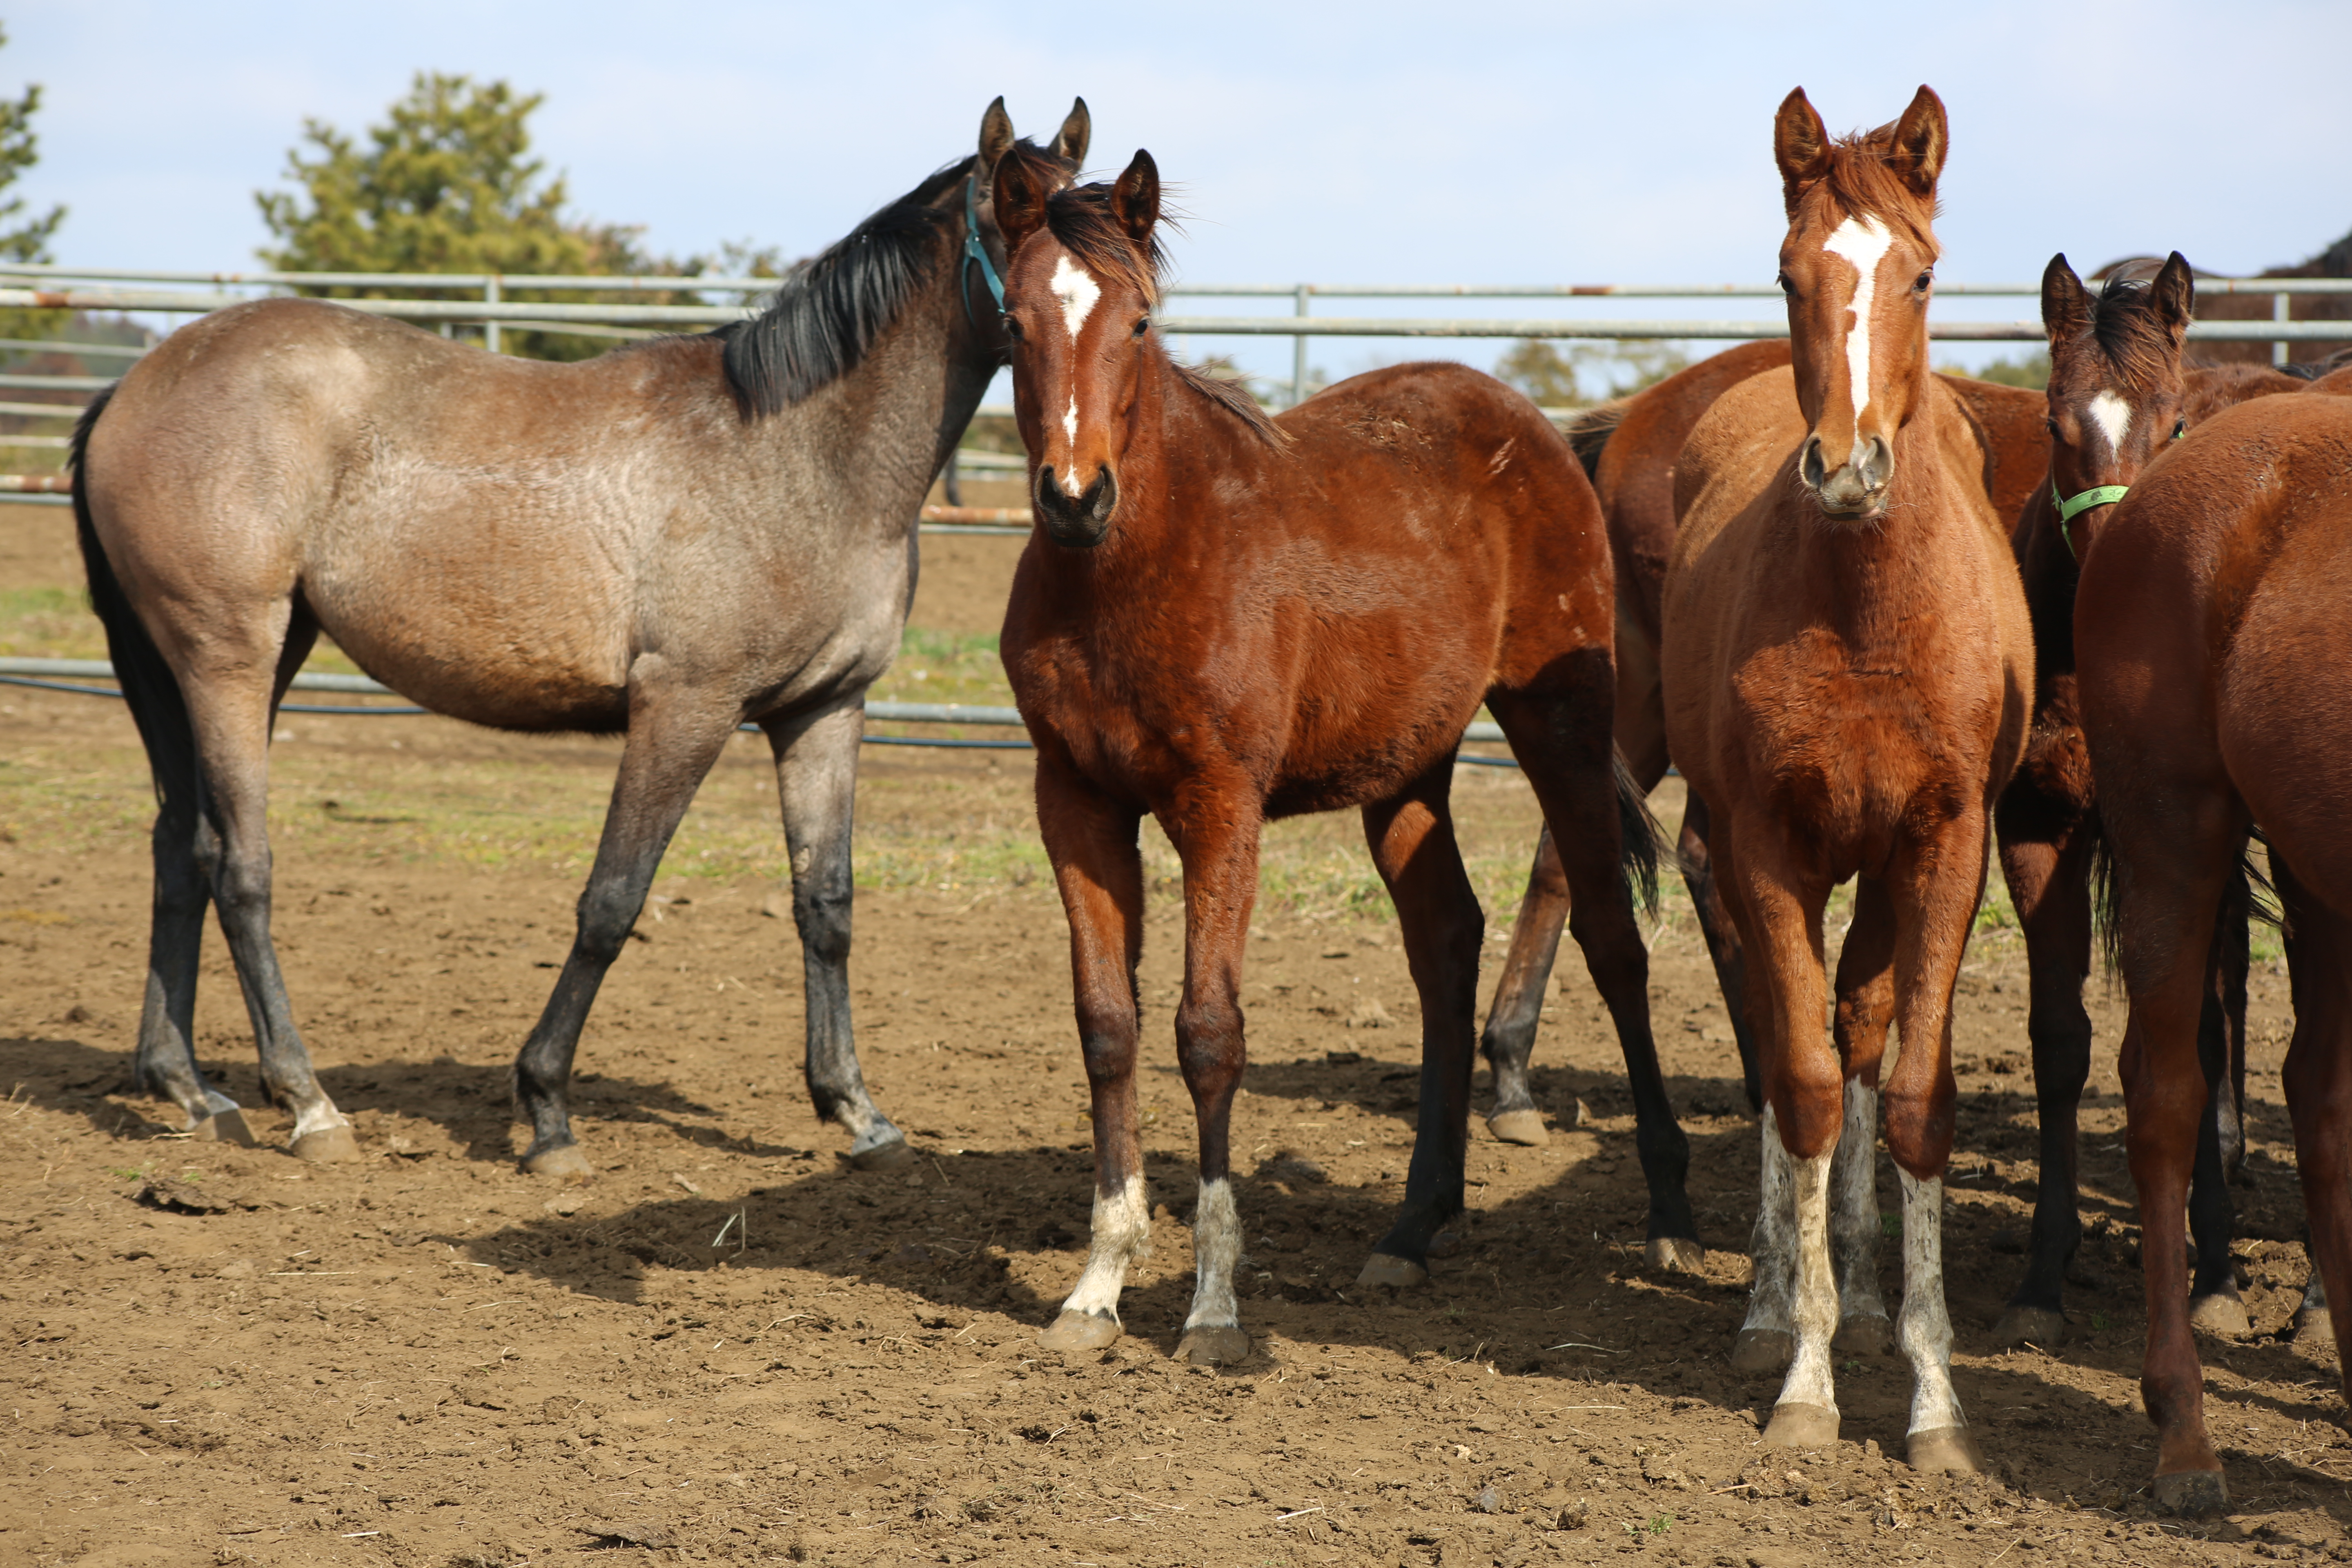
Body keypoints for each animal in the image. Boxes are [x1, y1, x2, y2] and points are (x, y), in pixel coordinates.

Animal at [71, 95, 1091, 1175]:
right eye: (1018, 220)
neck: (802, 455)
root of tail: (134, 388)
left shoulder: (822, 711)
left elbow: (825, 905)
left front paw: (855, 1111)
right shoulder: (684, 705)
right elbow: (613, 901)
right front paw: (547, 1110)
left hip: (211, 662)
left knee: (179, 844)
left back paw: (186, 1086)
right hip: (226, 654)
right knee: (240, 865)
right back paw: (309, 1104)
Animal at [992, 147, 1675, 1363]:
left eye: (1139, 320)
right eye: (1012, 321)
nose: (1074, 500)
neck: (1134, 569)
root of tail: (1543, 435)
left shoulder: (1219, 803)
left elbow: (1207, 1032)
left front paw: (1213, 1307)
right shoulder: (1072, 799)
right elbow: (1108, 1025)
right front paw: (1096, 1285)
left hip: (1560, 722)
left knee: (1608, 935)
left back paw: (1667, 1210)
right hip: (1406, 771)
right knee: (1446, 941)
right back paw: (1414, 1225)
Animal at [1665, 89, 2032, 1476]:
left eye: (1920, 274)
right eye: (1788, 274)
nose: (1847, 468)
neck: (1869, 609)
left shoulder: (1945, 841)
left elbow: (1911, 1092)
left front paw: (1933, 1396)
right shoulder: (1768, 846)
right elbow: (1809, 1084)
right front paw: (1808, 1376)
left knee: (1867, 1021)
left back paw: (1873, 1297)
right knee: (1796, 1052)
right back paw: (1781, 1303)